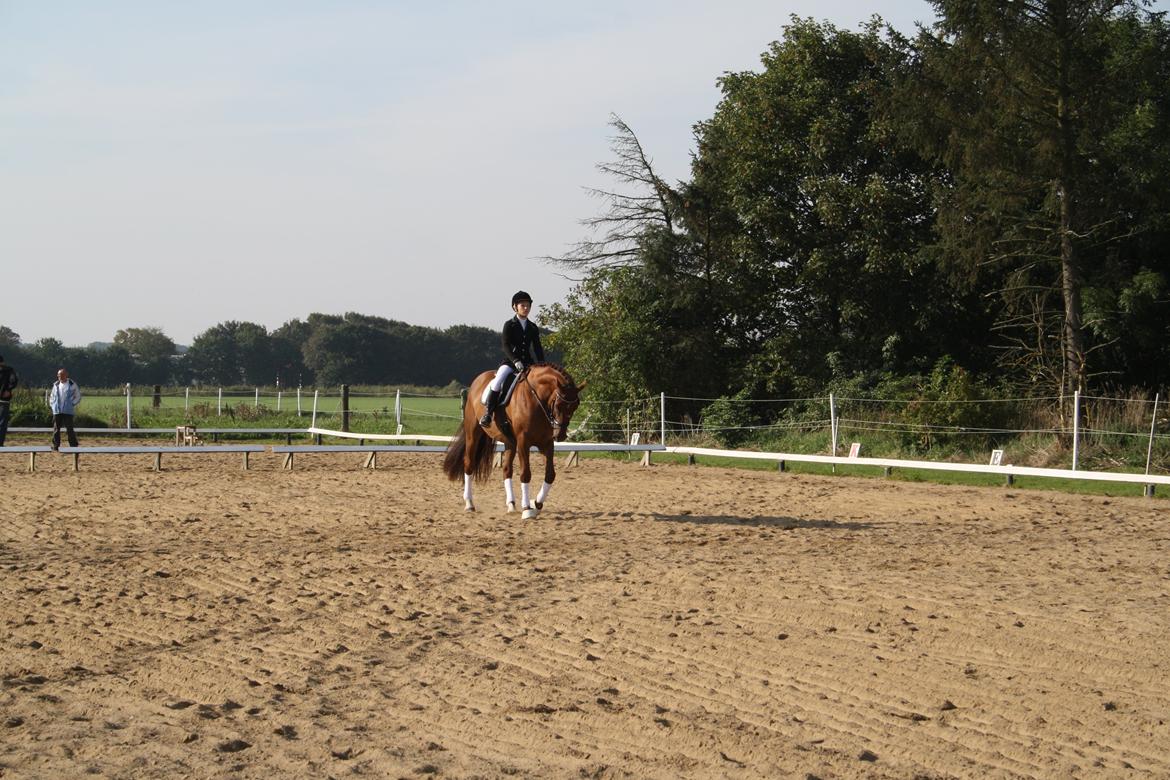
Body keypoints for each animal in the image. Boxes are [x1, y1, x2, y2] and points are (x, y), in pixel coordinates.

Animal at [439, 364, 582, 519]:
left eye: (575, 406)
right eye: (558, 404)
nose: (560, 435)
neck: (537, 399)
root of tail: (478, 380)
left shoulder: (546, 443)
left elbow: (550, 475)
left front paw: (536, 503)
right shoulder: (523, 442)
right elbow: (525, 474)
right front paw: (527, 509)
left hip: (510, 442)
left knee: (507, 470)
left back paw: (511, 505)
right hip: (473, 434)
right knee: (469, 464)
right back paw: (469, 504)